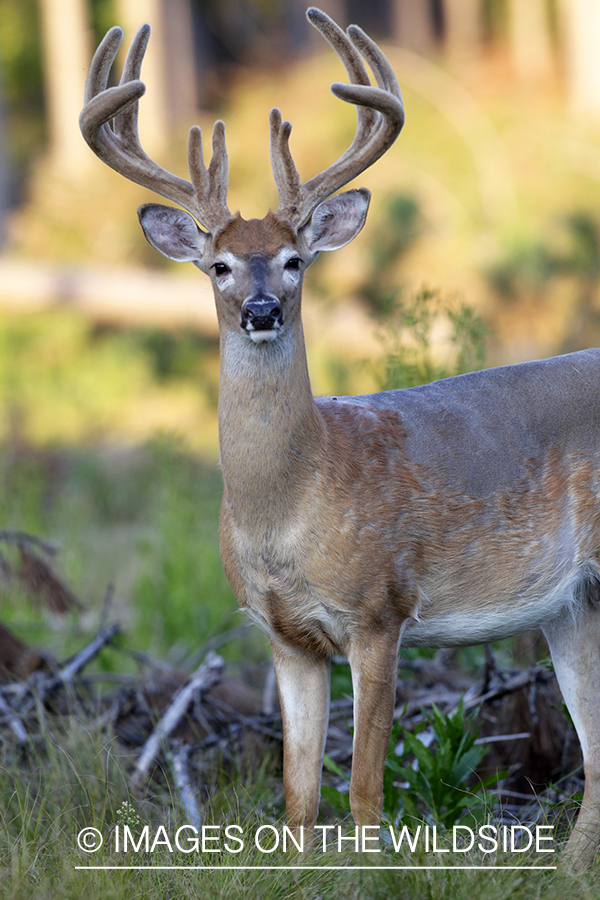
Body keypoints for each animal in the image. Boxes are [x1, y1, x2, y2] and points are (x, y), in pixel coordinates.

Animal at [81, 3, 600, 868]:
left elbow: (362, 790)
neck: (290, 502)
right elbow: (297, 797)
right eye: (220, 266)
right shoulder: (283, 636)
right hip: (570, 605)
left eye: (295, 260)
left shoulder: (379, 609)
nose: (262, 310)